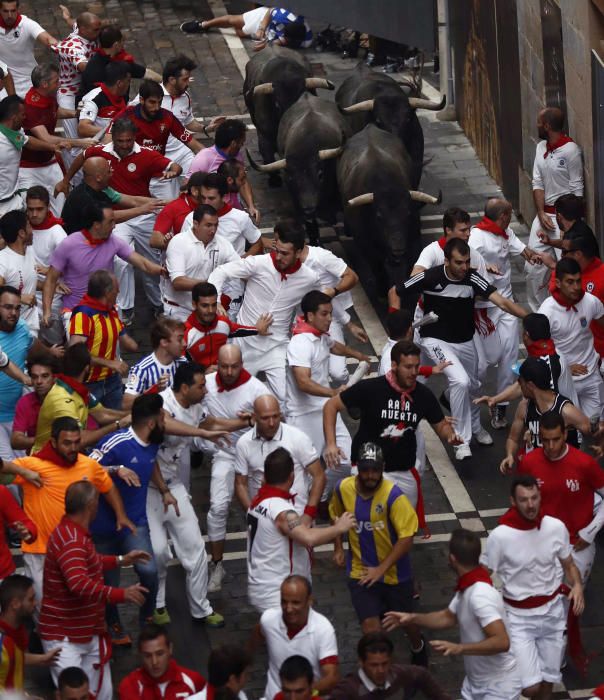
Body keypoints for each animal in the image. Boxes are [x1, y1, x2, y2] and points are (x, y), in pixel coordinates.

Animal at [338, 124, 442, 300]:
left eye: (407, 214)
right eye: (379, 216)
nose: (397, 247)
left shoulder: (413, 238)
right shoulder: (365, 243)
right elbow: (377, 266)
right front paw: (381, 291)